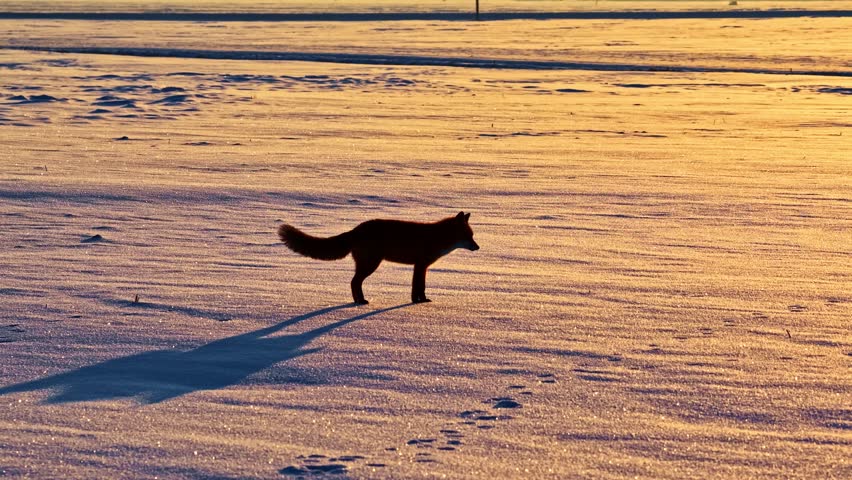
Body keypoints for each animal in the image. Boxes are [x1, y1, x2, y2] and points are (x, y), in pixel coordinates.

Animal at [278, 212, 479, 304]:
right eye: (468, 236)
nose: (477, 247)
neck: (438, 237)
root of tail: (355, 230)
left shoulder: (421, 266)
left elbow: (418, 287)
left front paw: (418, 301)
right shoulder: (421, 264)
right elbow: (418, 287)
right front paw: (418, 301)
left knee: (354, 282)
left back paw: (357, 301)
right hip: (371, 264)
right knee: (354, 282)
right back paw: (360, 301)